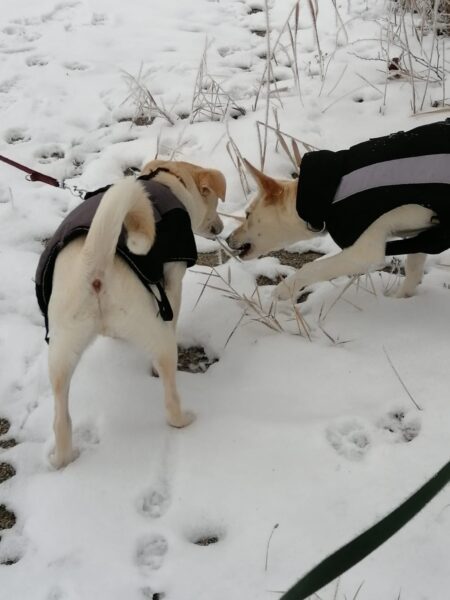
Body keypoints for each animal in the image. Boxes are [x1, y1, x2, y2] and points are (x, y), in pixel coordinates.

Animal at [36, 159, 226, 468]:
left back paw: (63, 457)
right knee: (170, 402)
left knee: (61, 420)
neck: (168, 181)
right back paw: (184, 418)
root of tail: (94, 263)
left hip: (60, 356)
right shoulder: (172, 282)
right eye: (213, 202)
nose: (220, 227)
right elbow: (174, 305)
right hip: (158, 337)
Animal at [227, 120, 450, 301]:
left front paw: (284, 289)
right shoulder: (422, 234)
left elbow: (313, 266)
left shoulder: (364, 253)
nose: (228, 239)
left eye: (247, 214)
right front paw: (401, 298)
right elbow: (414, 268)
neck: (325, 196)